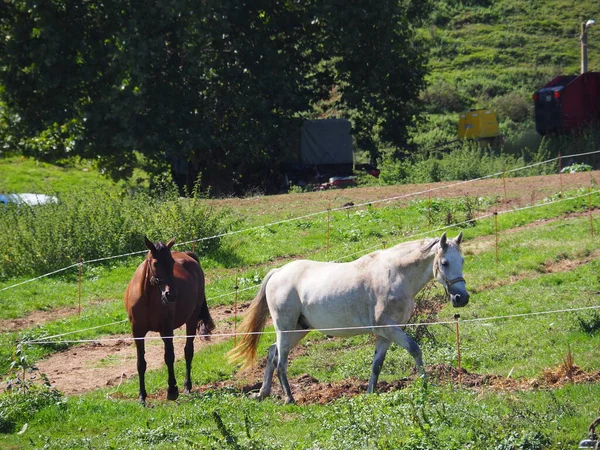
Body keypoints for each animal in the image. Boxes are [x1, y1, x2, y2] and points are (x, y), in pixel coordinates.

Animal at [123, 237, 214, 402]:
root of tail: (189, 256)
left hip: (191, 320)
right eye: (155, 263)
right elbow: (141, 363)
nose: (170, 294)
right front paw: (142, 396)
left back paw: (187, 386)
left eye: (171, 263)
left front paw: (172, 390)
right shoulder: (137, 333)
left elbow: (169, 357)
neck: (147, 298)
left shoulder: (166, 330)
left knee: (188, 351)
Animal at [227, 232, 466, 404]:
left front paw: (370, 393)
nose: (461, 298)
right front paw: (425, 385)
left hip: (298, 329)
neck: (395, 275)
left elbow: (377, 365)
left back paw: (262, 394)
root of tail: (278, 272)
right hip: (285, 328)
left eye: (462, 260)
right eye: (444, 263)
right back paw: (289, 399)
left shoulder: (385, 334)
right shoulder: (390, 329)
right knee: (281, 361)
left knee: (271, 352)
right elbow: (415, 349)